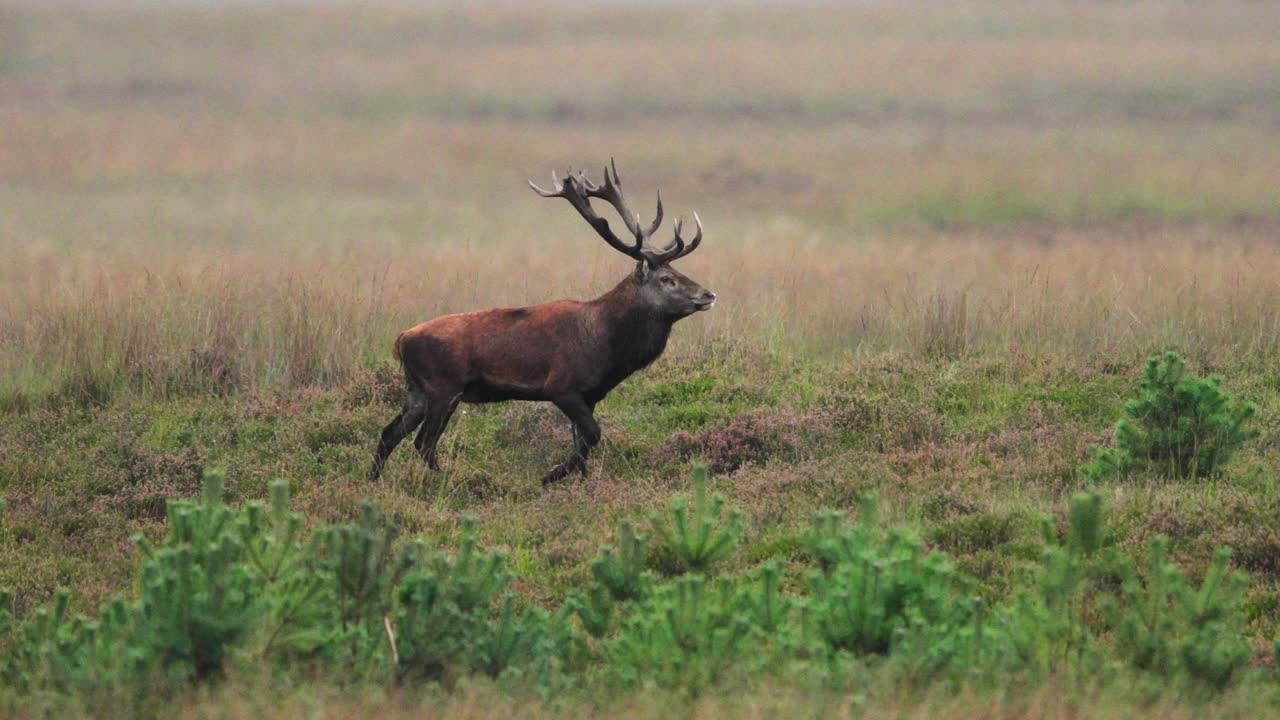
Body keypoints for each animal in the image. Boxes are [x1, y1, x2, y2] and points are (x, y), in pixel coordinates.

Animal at [368, 160, 716, 486]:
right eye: (667, 278)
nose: (708, 294)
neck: (608, 345)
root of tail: (401, 340)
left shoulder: (591, 394)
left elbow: (582, 444)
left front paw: (579, 483)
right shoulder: (562, 386)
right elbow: (593, 435)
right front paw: (550, 476)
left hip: (417, 390)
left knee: (389, 433)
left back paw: (372, 480)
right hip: (444, 386)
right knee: (423, 442)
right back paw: (451, 479)